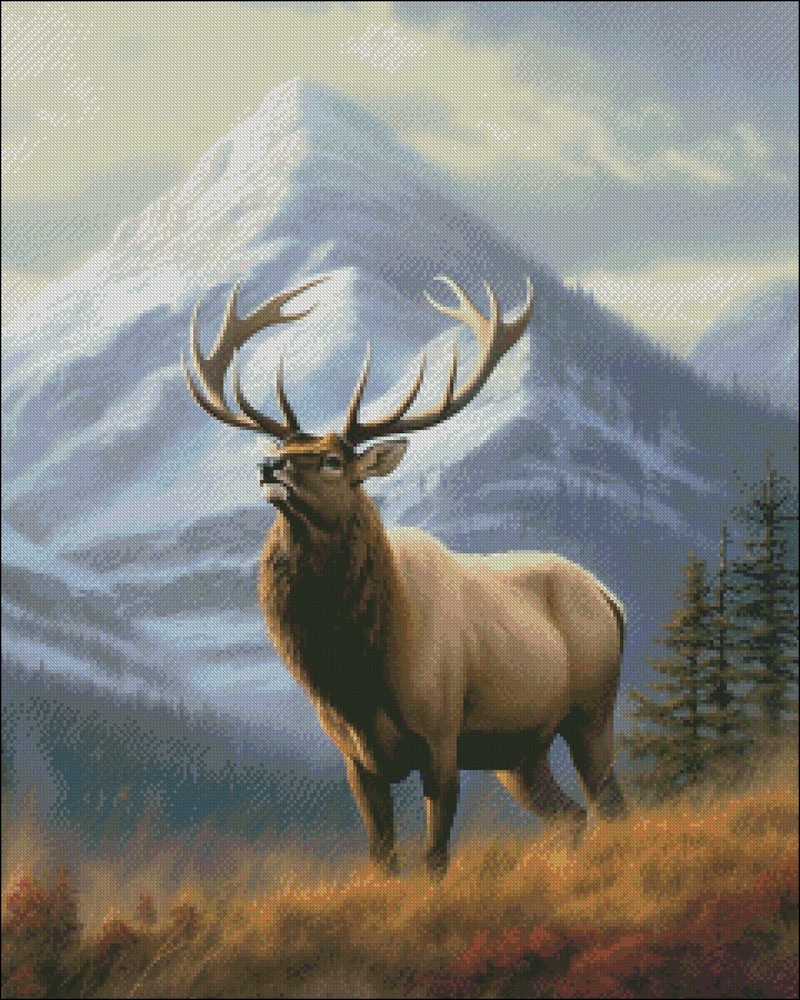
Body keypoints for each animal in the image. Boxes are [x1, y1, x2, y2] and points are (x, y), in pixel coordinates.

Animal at [181, 273, 627, 878]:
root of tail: (610, 597)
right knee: (571, 814)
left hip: (591, 708)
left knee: (611, 803)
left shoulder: (440, 736)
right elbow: (383, 859)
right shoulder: (356, 758)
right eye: (286, 447)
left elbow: (435, 859)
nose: (268, 467)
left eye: (332, 460)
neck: (360, 679)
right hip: (518, 750)